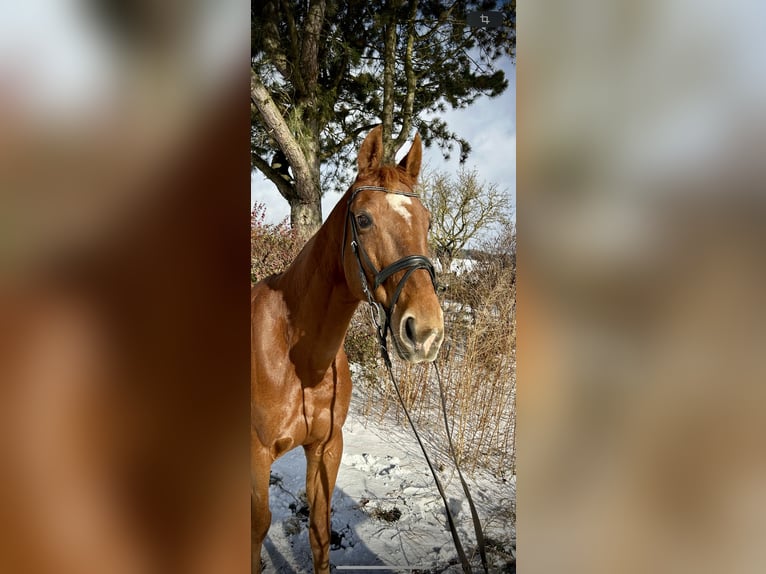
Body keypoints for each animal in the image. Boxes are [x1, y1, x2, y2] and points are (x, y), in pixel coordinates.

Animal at [254, 127, 444, 574]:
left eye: (427, 221)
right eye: (363, 219)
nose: (426, 332)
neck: (299, 361)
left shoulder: (327, 448)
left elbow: (320, 532)